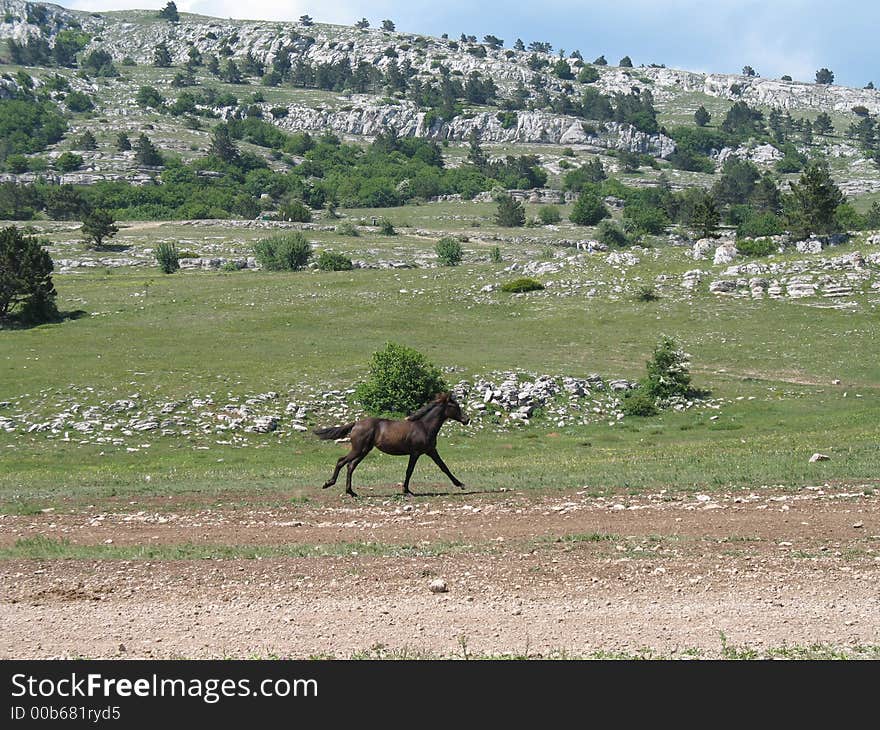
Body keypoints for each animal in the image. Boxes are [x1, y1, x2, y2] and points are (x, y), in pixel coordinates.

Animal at [314, 392, 470, 494]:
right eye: (454, 406)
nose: (466, 419)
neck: (424, 427)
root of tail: (356, 424)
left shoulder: (430, 451)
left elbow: (444, 467)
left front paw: (461, 484)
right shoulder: (415, 453)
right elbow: (409, 470)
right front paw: (406, 490)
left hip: (364, 450)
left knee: (350, 466)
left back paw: (351, 492)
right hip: (358, 449)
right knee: (341, 461)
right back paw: (329, 484)